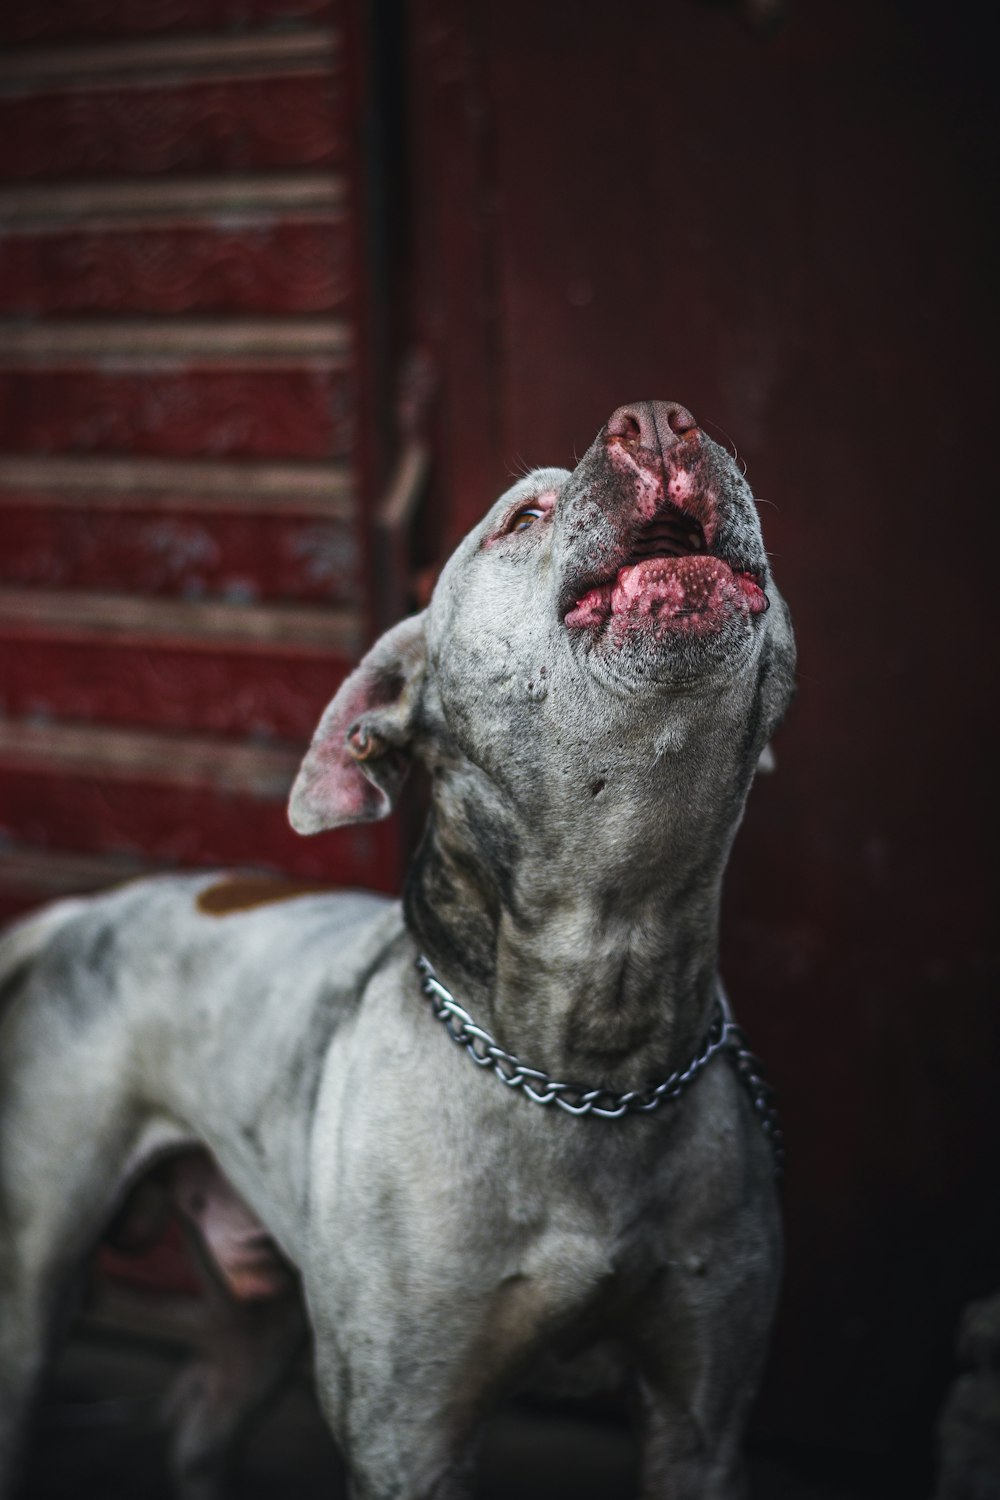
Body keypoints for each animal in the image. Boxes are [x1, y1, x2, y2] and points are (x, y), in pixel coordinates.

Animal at [0, 402, 797, 1500]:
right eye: (522, 517)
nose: (658, 419)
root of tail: (80, 910)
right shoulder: (406, 1434)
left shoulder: (702, 1418)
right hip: (35, 1279)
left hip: (260, 1305)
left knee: (203, 1415)